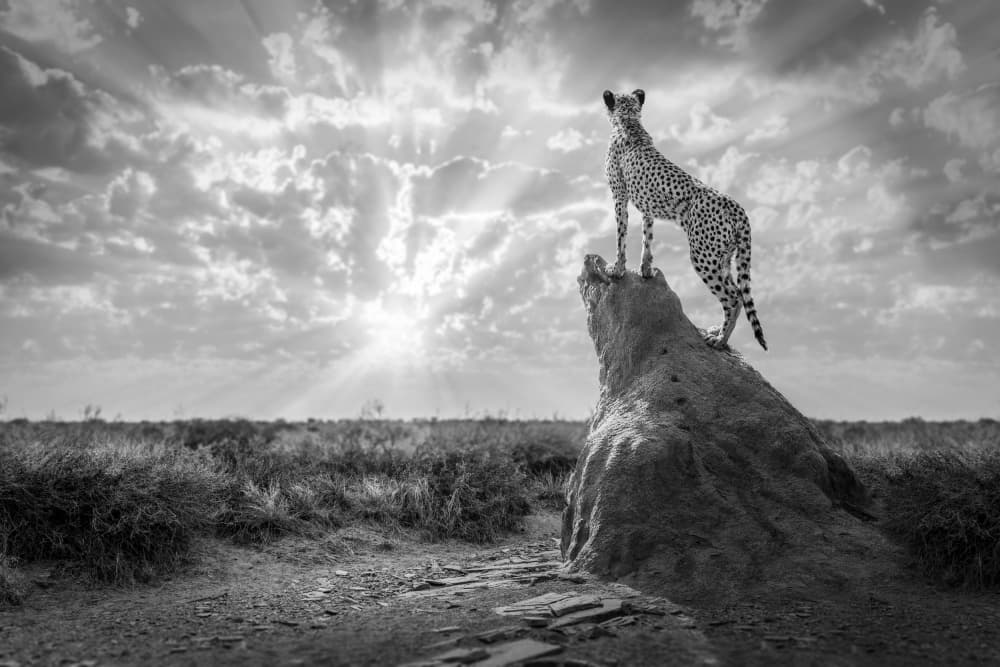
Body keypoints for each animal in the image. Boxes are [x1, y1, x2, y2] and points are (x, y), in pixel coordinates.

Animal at [602, 88, 767, 350]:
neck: (629, 122)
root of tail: (735, 205)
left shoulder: (619, 196)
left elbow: (621, 236)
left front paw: (617, 270)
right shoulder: (647, 206)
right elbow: (647, 237)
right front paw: (646, 270)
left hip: (703, 256)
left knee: (733, 298)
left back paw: (720, 339)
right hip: (723, 256)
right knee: (739, 293)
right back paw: (718, 331)